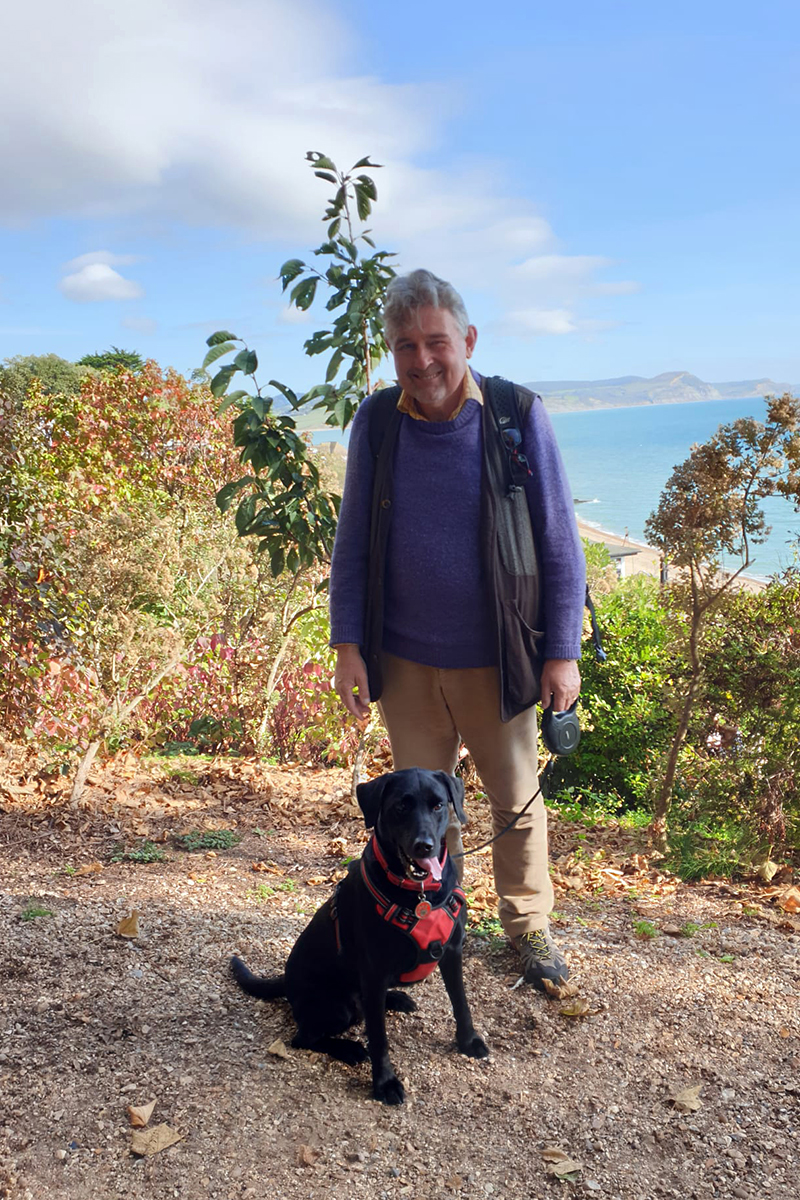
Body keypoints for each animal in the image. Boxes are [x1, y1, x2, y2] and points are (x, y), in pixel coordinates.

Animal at [231, 768, 489, 1104]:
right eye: (401, 806)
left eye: (438, 805)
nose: (425, 846)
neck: (419, 895)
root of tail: (286, 981)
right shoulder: (374, 971)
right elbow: (379, 1038)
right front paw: (384, 1083)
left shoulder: (452, 951)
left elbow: (461, 1003)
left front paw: (468, 1041)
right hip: (338, 1007)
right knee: (304, 1037)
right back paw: (349, 1049)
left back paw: (396, 998)